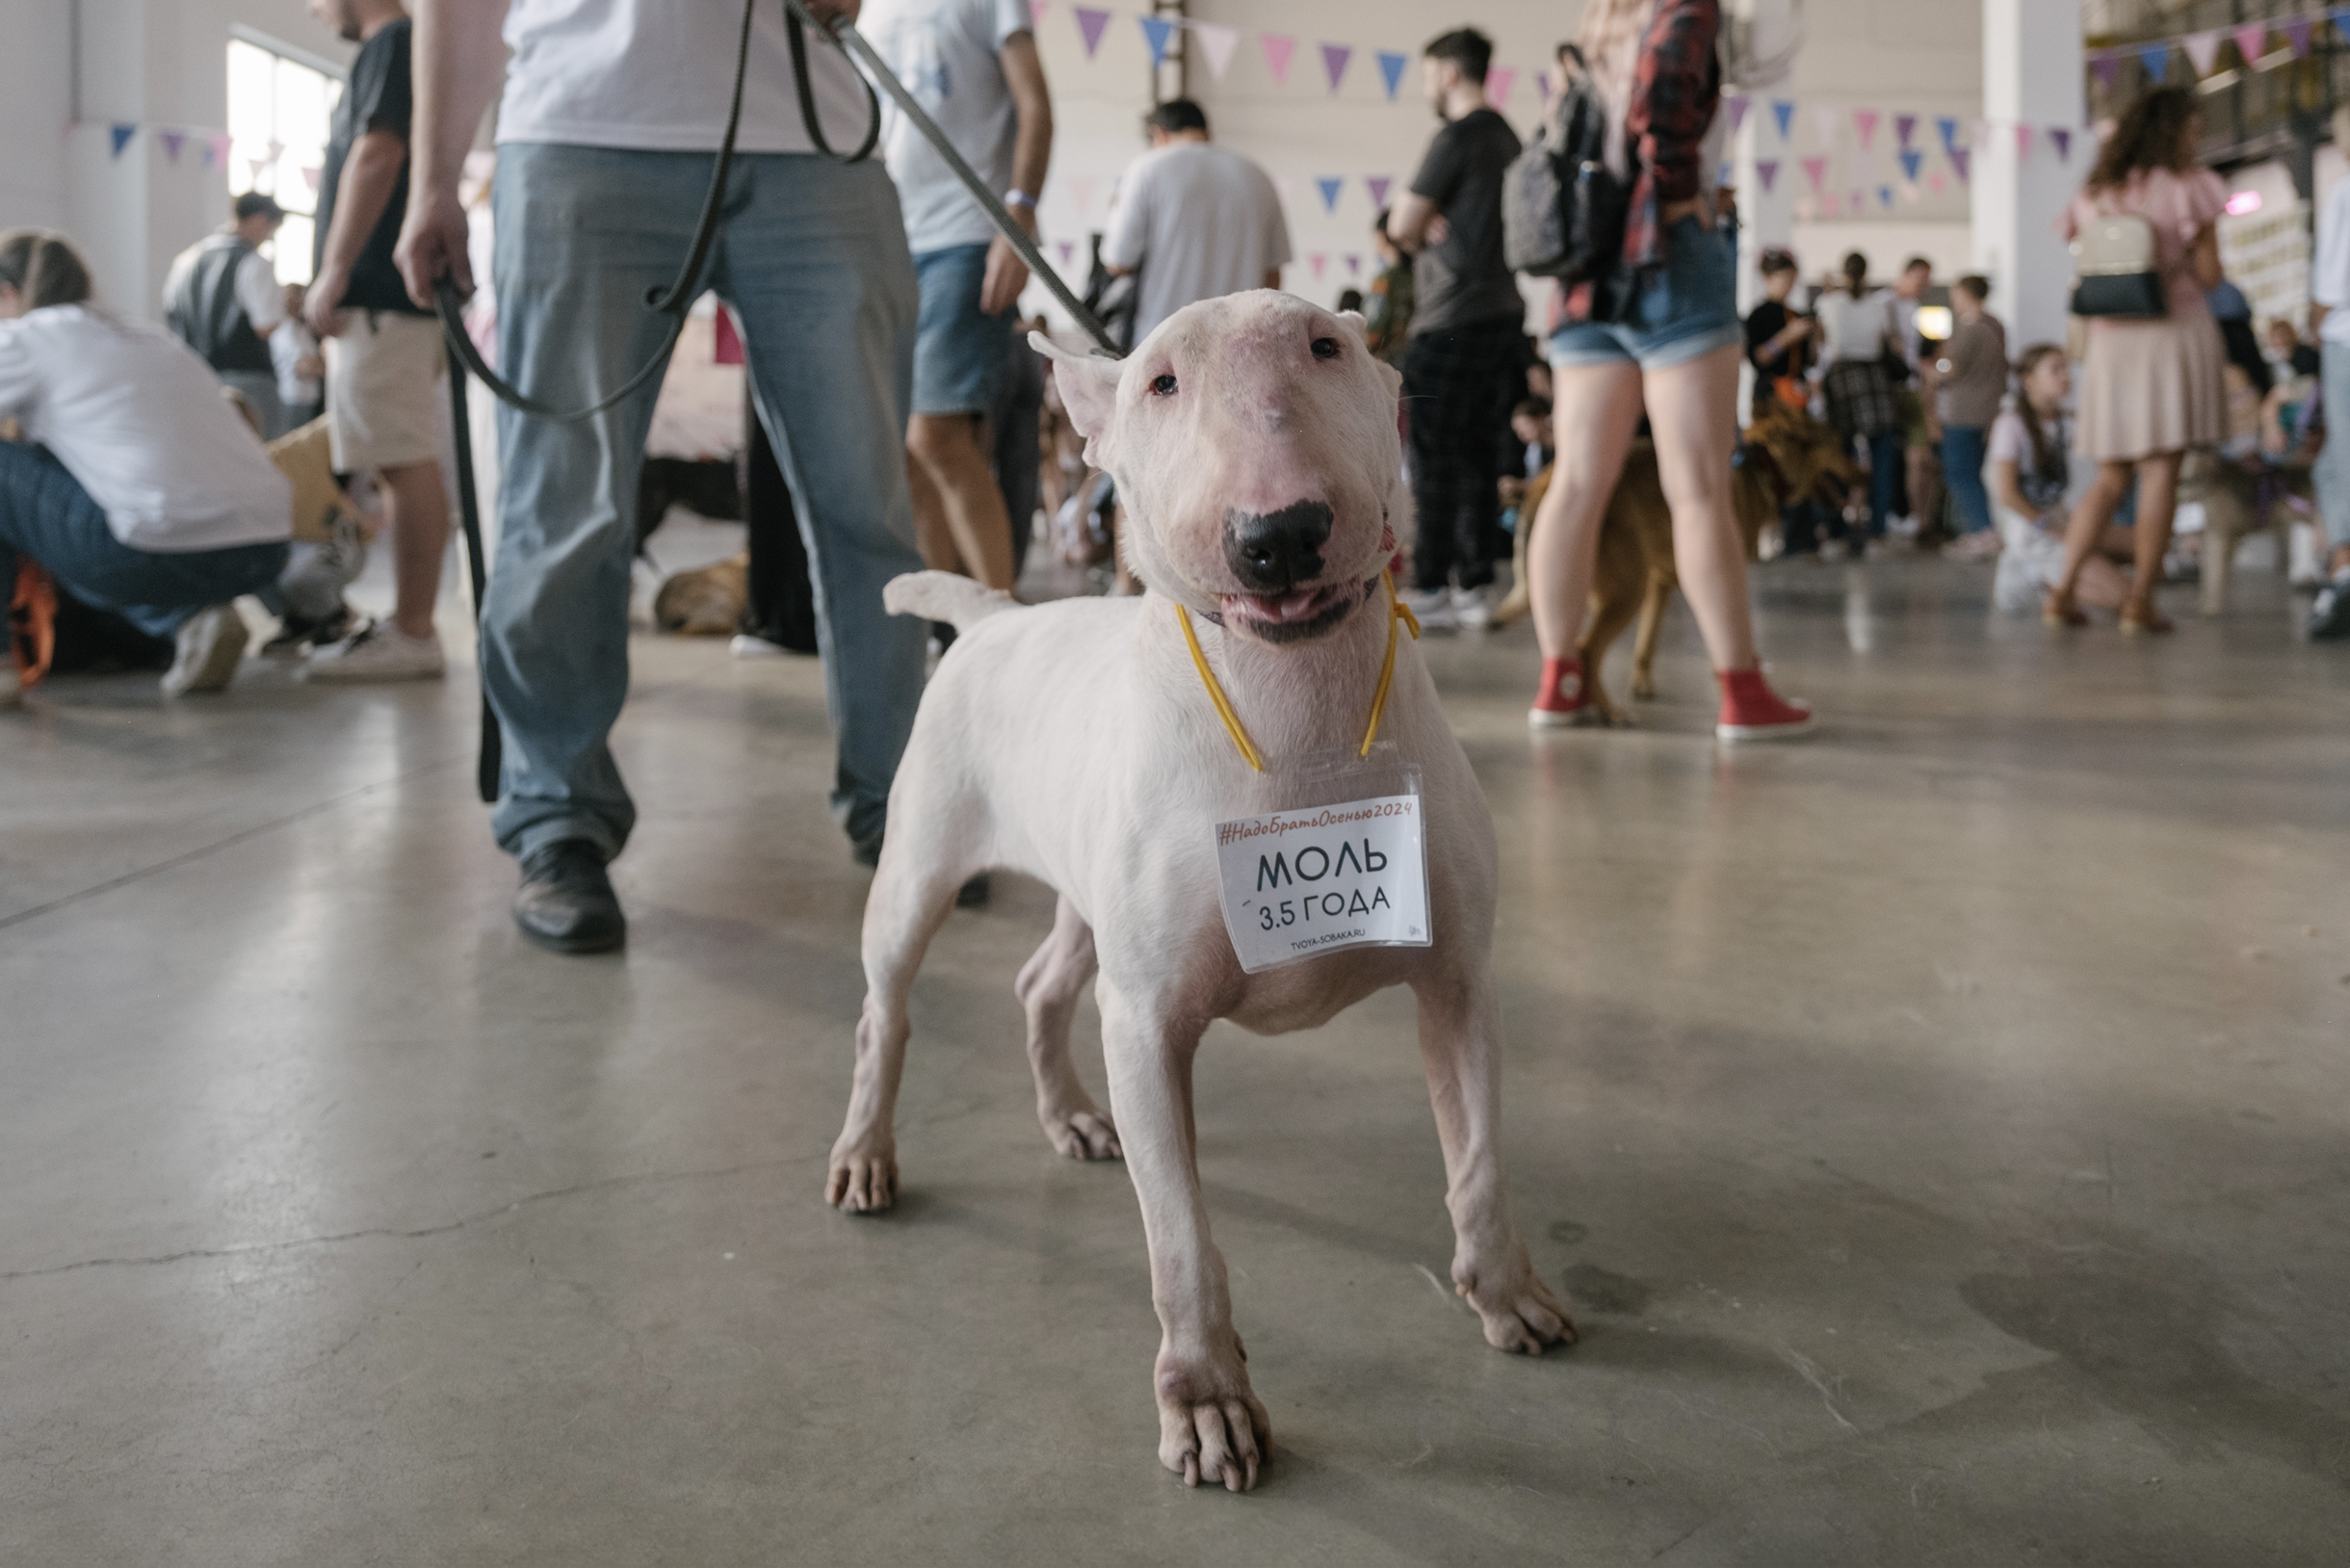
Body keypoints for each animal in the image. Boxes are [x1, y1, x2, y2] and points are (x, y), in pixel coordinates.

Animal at [831, 294, 1579, 1495]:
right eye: (1159, 382)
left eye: (1328, 345)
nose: (1277, 533)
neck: (1294, 711)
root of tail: (994, 614)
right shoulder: (1144, 1020)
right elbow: (1179, 1230)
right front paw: (1207, 1401)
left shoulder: (1460, 979)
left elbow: (1478, 1160)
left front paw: (1507, 1291)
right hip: (916, 868)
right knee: (884, 1011)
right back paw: (865, 1151)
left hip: (1087, 889)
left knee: (1041, 984)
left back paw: (1071, 1115)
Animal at [1494, 402, 1861, 728]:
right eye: (1837, 443)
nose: (1865, 475)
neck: (1763, 463)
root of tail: (1545, 480)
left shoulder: (1660, 583)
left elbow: (1647, 642)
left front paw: (1642, 684)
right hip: (1627, 591)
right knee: (1586, 650)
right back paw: (1610, 712)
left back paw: (1575, 703)